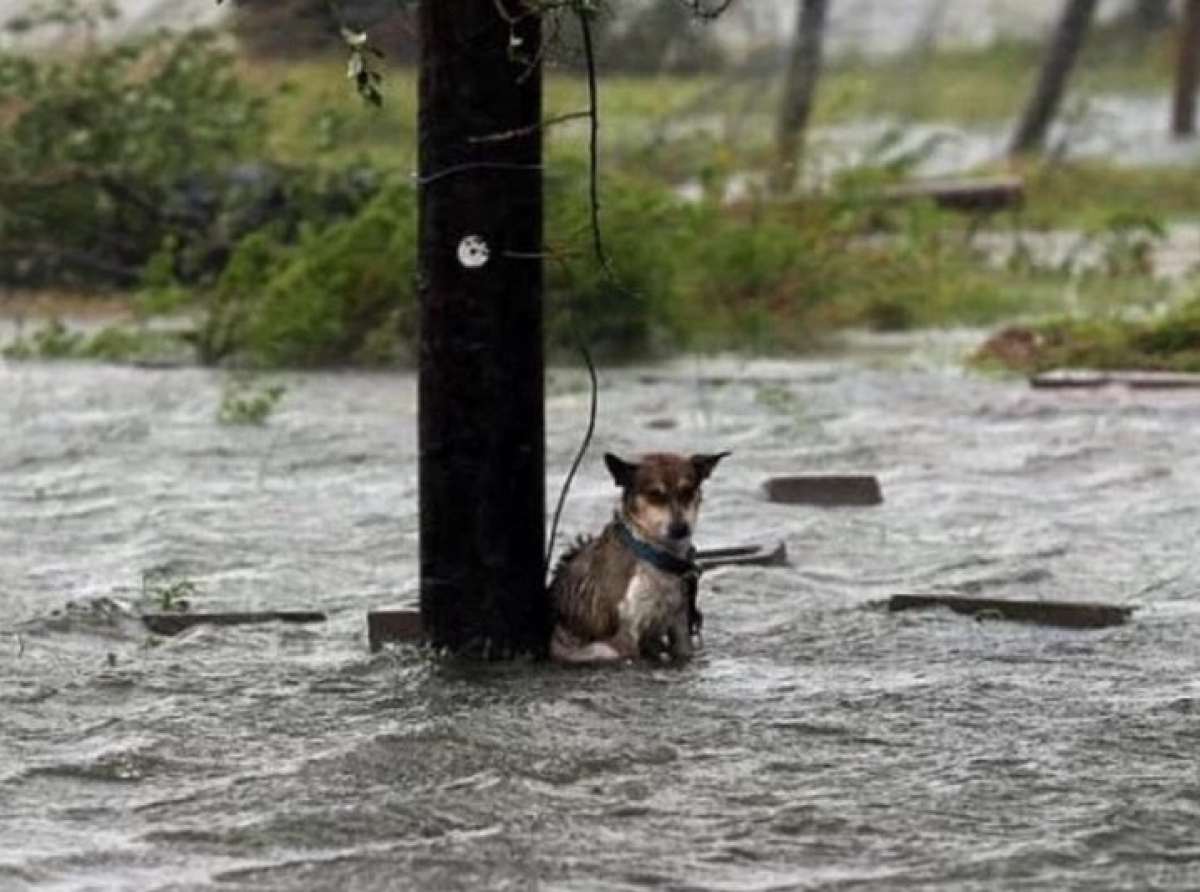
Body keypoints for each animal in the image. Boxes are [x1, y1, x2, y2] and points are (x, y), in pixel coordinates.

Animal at [549, 449, 724, 667]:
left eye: (687, 491)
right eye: (655, 495)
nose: (680, 528)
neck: (653, 555)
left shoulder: (680, 624)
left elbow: (683, 652)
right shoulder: (626, 637)